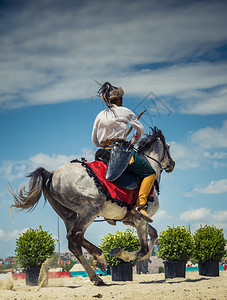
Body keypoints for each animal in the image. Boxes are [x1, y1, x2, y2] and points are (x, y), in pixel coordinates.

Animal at [9, 127, 175, 286]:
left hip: (70, 215)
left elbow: (153, 236)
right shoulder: (140, 219)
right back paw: (100, 258)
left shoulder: (133, 220)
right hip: (90, 211)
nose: (172, 164)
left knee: (74, 246)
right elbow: (144, 249)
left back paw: (96, 278)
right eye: (168, 147)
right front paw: (122, 254)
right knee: (75, 235)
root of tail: (52, 173)